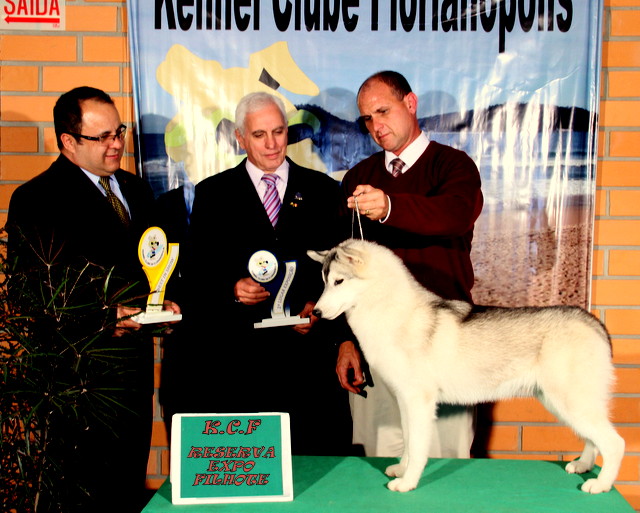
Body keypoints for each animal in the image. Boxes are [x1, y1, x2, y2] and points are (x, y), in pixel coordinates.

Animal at [308, 239, 624, 492]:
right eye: (324, 281)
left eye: (338, 281)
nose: (316, 313)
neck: (391, 312)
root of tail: (593, 321)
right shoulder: (404, 401)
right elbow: (408, 441)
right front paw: (402, 469)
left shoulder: (419, 401)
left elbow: (418, 447)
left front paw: (408, 482)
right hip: (561, 403)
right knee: (593, 439)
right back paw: (583, 466)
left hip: (570, 403)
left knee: (614, 443)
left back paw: (601, 485)